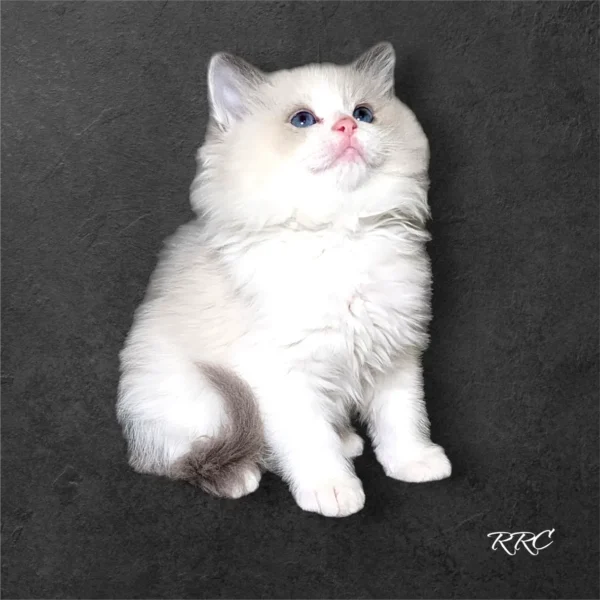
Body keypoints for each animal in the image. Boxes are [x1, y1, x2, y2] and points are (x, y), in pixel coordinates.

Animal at [117, 42, 450, 516]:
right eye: (303, 120)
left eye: (364, 113)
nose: (348, 126)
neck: (339, 233)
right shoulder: (282, 370)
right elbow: (309, 438)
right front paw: (333, 489)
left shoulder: (396, 349)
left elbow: (402, 416)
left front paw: (413, 461)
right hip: (192, 396)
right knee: (183, 457)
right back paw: (240, 474)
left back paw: (345, 441)